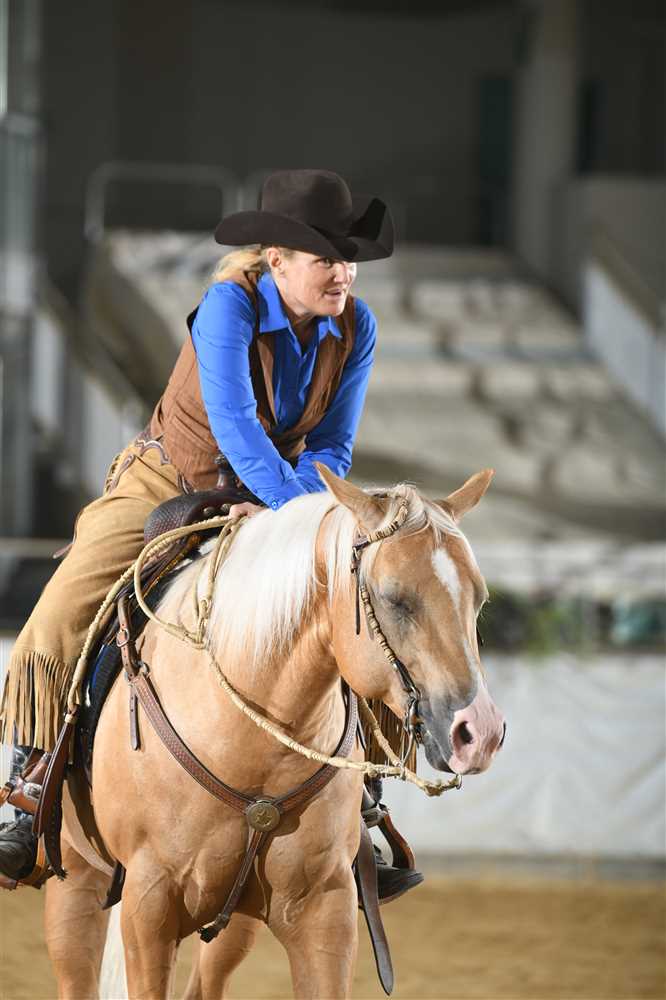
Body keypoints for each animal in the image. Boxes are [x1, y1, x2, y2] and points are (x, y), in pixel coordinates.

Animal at [43, 465, 505, 1000]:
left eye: (479, 599)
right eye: (394, 598)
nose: (480, 732)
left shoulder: (324, 910)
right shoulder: (148, 909)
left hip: (233, 922)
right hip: (74, 882)